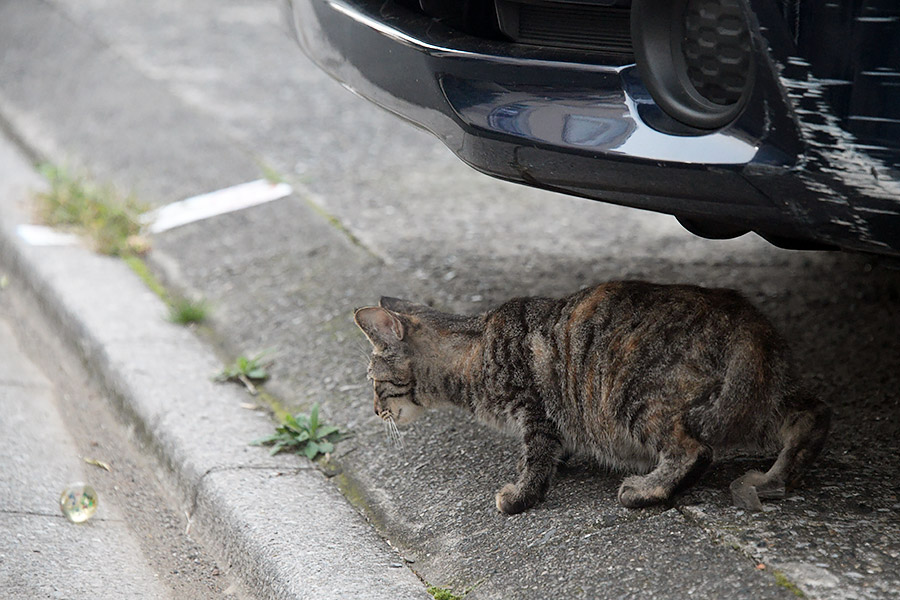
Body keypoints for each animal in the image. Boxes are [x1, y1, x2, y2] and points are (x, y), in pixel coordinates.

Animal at [356, 278, 832, 512]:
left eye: (373, 380)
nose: (376, 411)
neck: (474, 346)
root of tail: (748, 318)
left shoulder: (535, 409)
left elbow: (536, 460)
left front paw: (519, 497)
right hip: (757, 401)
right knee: (812, 415)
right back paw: (773, 480)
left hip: (636, 397)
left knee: (694, 450)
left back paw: (646, 490)